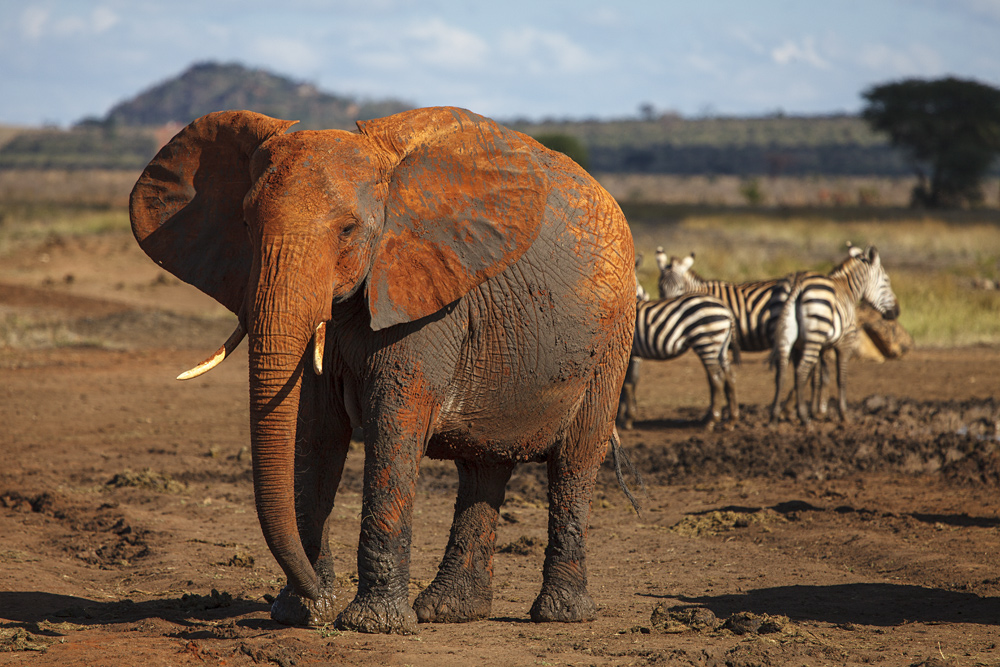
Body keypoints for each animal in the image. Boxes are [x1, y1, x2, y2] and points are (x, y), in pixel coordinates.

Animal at [129, 107, 636, 636]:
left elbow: (394, 423)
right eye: (246, 224)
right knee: (484, 467)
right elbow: (314, 431)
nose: (317, 595)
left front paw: (370, 624)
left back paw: (559, 615)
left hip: (612, 342)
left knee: (574, 462)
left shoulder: (425, 301)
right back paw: (450, 611)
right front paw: (302, 613)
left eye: (348, 230)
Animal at [768, 243, 904, 426]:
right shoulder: (844, 342)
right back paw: (804, 418)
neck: (847, 290)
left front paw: (817, 411)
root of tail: (798, 282)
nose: (897, 311)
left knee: (781, 372)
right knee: (801, 371)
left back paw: (774, 416)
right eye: (886, 280)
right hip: (815, 334)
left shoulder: (819, 346)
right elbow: (841, 377)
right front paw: (843, 415)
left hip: (788, 336)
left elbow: (819, 377)